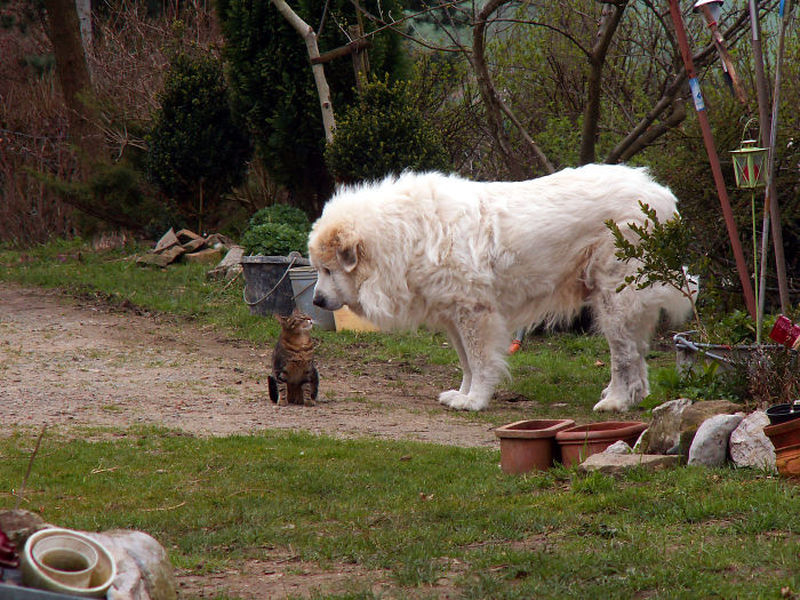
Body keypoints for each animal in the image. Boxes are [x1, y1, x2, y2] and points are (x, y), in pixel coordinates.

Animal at [306, 164, 692, 412]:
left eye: (327, 269)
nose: (316, 300)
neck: (405, 234)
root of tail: (661, 196)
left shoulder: (475, 313)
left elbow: (479, 362)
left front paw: (475, 401)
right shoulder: (454, 316)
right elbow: (465, 362)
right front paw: (462, 395)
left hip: (613, 297)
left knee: (623, 354)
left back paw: (616, 402)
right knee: (636, 353)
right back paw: (631, 396)